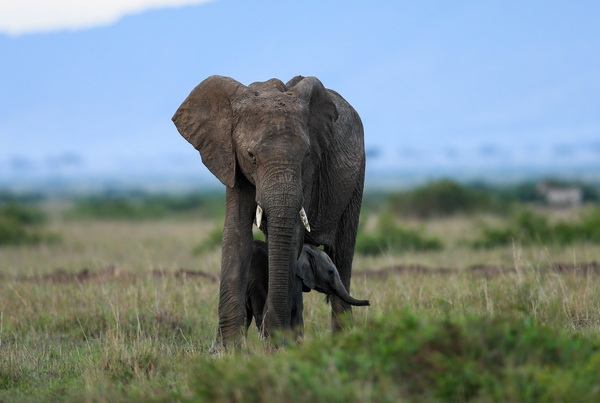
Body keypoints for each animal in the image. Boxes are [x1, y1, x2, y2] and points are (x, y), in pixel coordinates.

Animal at [171, 75, 364, 350]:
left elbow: (292, 234)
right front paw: (225, 350)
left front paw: (278, 344)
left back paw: (344, 342)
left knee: (343, 251)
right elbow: (235, 232)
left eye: (306, 154)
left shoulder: (308, 172)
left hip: (357, 176)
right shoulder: (231, 159)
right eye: (251, 155)